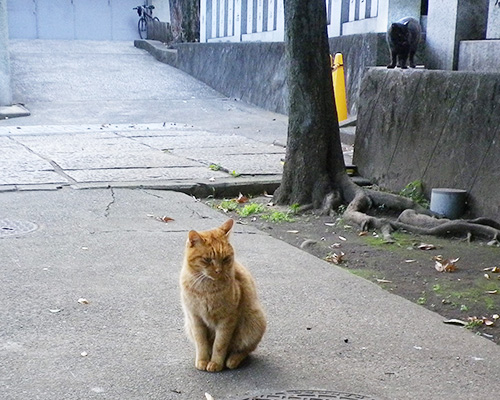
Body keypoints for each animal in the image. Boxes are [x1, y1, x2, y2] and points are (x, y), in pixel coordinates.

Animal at [179, 219, 266, 372]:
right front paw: (203, 360)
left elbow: (220, 344)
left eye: (225, 259)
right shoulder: (195, 318)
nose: (218, 271)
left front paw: (216, 363)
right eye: (207, 259)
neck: (206, 289)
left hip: (254, 322)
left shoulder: (227, 319)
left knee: (244, 350)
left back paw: (232, 360)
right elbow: (201, 343)